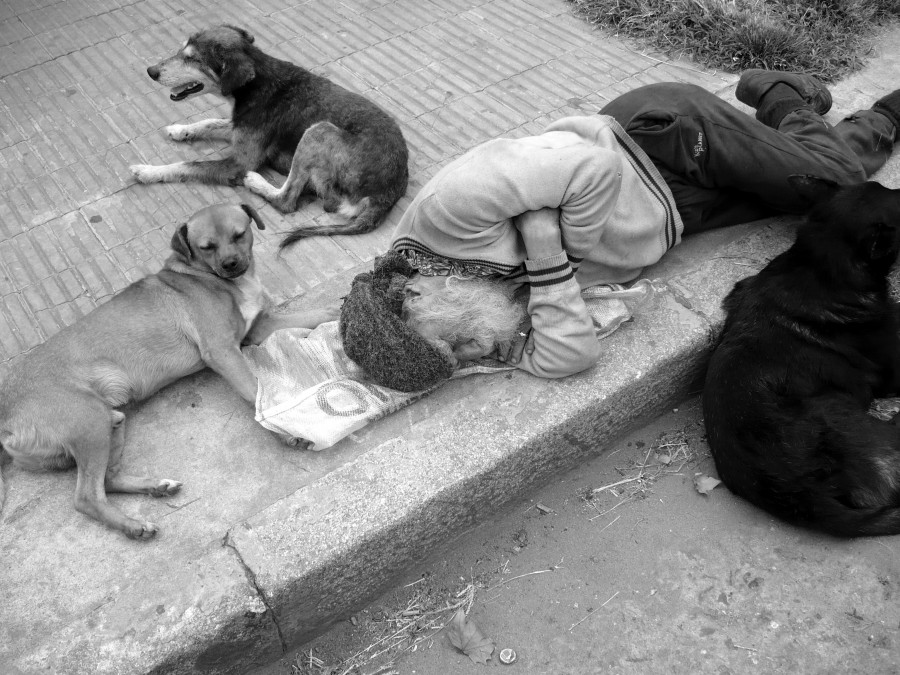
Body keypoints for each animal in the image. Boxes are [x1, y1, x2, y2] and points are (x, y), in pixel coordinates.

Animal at [0, 202, 338, 540]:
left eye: (239, 234)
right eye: (206, 247)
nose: (230, 264)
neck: (208, 278)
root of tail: (6, 416)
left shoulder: (259, 327)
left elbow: (314, 314)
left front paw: (339, 308)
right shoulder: (222, 351)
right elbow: (255, 393)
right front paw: (284, 430)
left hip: (110, 423)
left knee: (107, 478)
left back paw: (155, 487)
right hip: (89, 424)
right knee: (86, 497)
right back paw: (133, 525)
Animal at [128, 26, 410, 250]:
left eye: (192, 59)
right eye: (182, 52)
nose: (151, 71)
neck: (254, 83)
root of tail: (389, 191)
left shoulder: (239, 162)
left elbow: (186, 165)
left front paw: (148, 171)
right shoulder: (237, 127)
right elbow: (210, 122)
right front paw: (180, 129)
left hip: (318, 131)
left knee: (287, 201)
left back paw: (256, 182)